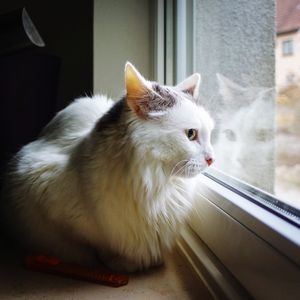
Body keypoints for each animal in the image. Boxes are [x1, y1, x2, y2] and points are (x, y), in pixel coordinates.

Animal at [1, 62, 214, 272]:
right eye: (191, 134)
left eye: (210, 134)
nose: (212, 159)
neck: (156, 186)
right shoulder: (37, 185)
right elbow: (92, 245)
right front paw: (117, 263)